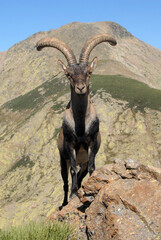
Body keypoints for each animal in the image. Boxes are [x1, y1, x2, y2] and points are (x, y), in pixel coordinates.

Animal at [36, 32, 117, 207]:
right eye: (69, 74)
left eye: (89, 72)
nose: (81, 88)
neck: (80, 125)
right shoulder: (70, 144)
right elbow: (72, 170)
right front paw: (74, 195)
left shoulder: (92, 142)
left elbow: (93, 167)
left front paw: (91, 189)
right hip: (62, 161)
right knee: (66, 182)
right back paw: (66, 201)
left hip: (83, 163)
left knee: (80, 175)